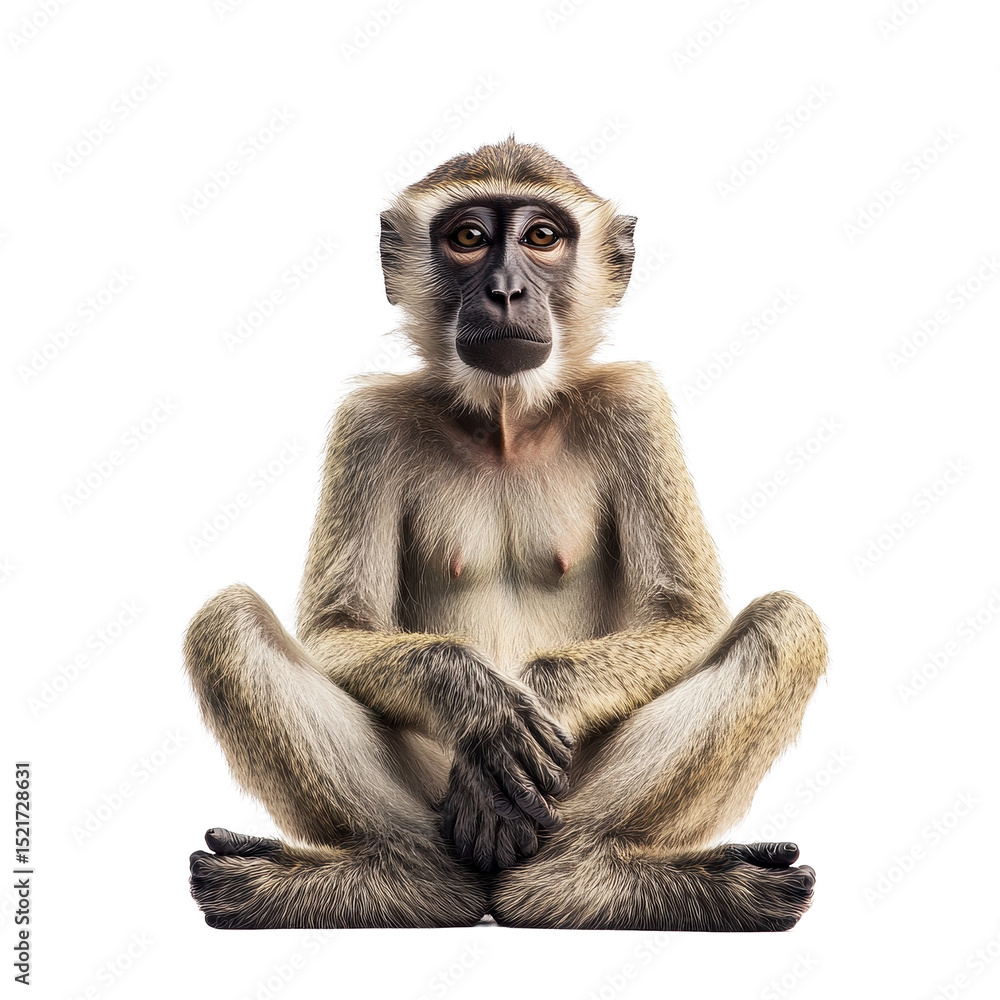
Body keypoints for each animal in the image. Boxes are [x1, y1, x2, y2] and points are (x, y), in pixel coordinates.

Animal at [185, 136, 827, 932]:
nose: (506, 291)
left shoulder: (634, 403)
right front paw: (480, 706)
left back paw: (577, 882)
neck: (505, 423)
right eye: (468, 238)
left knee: (785, 625)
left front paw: (541, 691)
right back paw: (410, 878)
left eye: (542, 237)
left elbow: (685, 616)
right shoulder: (369, 422)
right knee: (229, 622)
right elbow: (338, 627)